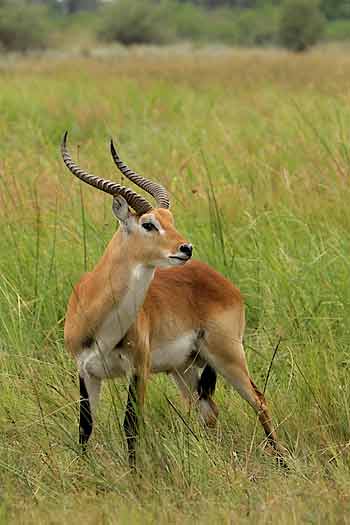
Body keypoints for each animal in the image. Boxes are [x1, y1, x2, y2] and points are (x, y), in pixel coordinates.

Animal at [61, 133, 284, 464]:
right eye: (148, 223)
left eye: (170, 218)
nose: (185, 248)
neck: (100, 320)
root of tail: (223, 282)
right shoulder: (86, 372)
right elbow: (85, 429)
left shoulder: (138, 369)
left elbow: (131, 425)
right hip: (184, 368)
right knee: (209, 411)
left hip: (227, 355)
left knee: (258, 399)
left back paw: (283, 461)